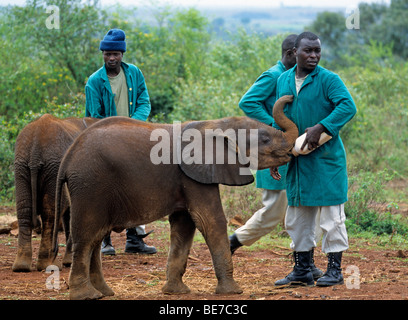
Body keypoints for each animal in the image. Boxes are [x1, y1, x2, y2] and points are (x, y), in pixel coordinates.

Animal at [53, 95, 296, 300]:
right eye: (265, 139)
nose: (291, 97)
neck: (217, 124)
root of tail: (67, 158)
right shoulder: (194, 174)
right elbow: (210, 220)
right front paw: (233, 291)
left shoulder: (187, 177)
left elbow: (184, 224)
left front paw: (176, 291)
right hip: (90, 185)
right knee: (87, 236)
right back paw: (86, 295)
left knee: (96, 236)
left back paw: (104, 293)